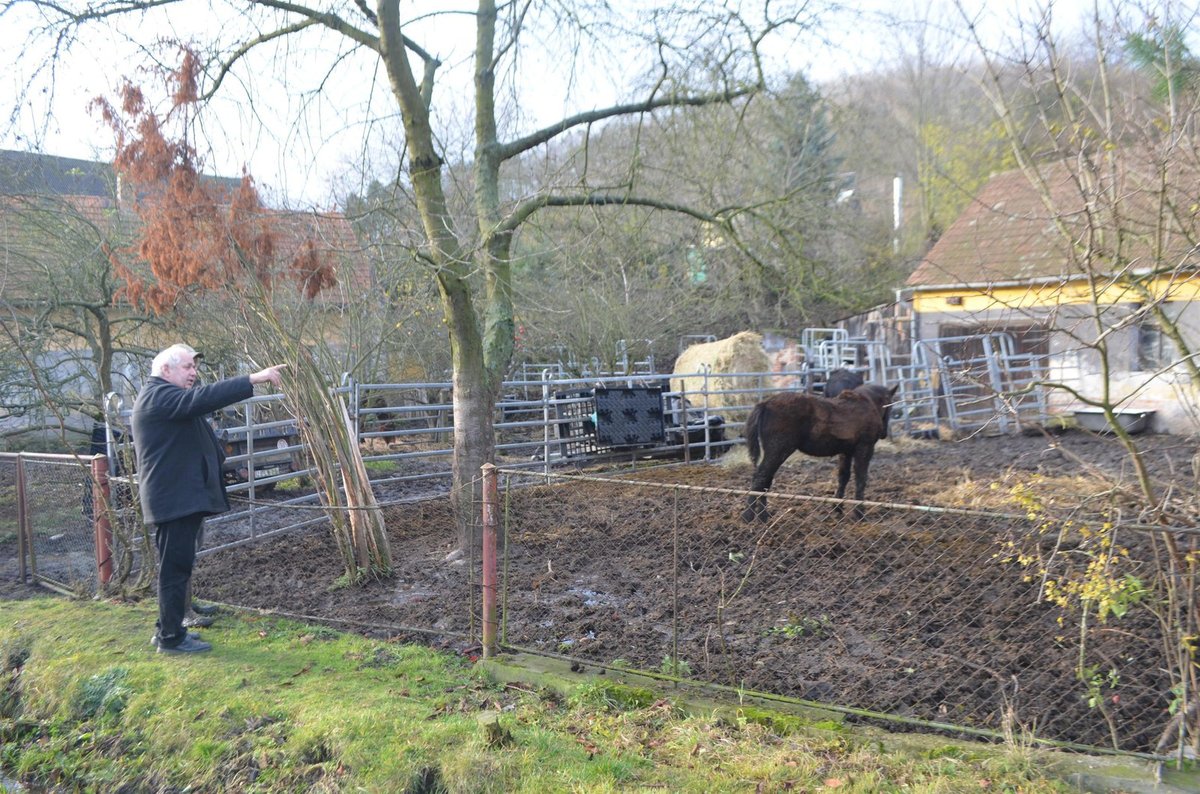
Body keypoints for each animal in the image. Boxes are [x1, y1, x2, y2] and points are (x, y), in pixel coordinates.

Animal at [739, 383, 902, 525]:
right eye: (890, 405)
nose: (884, 433)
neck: (866, 404)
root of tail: (766, 403)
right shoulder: (864, 449)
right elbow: (861, 480)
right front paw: (859, 514)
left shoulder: (846, 452)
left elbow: (843, 477)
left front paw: (838, 508)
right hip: (778, 450)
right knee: (761, 478)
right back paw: (748, 516)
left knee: (766, 480)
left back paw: (763, 517)